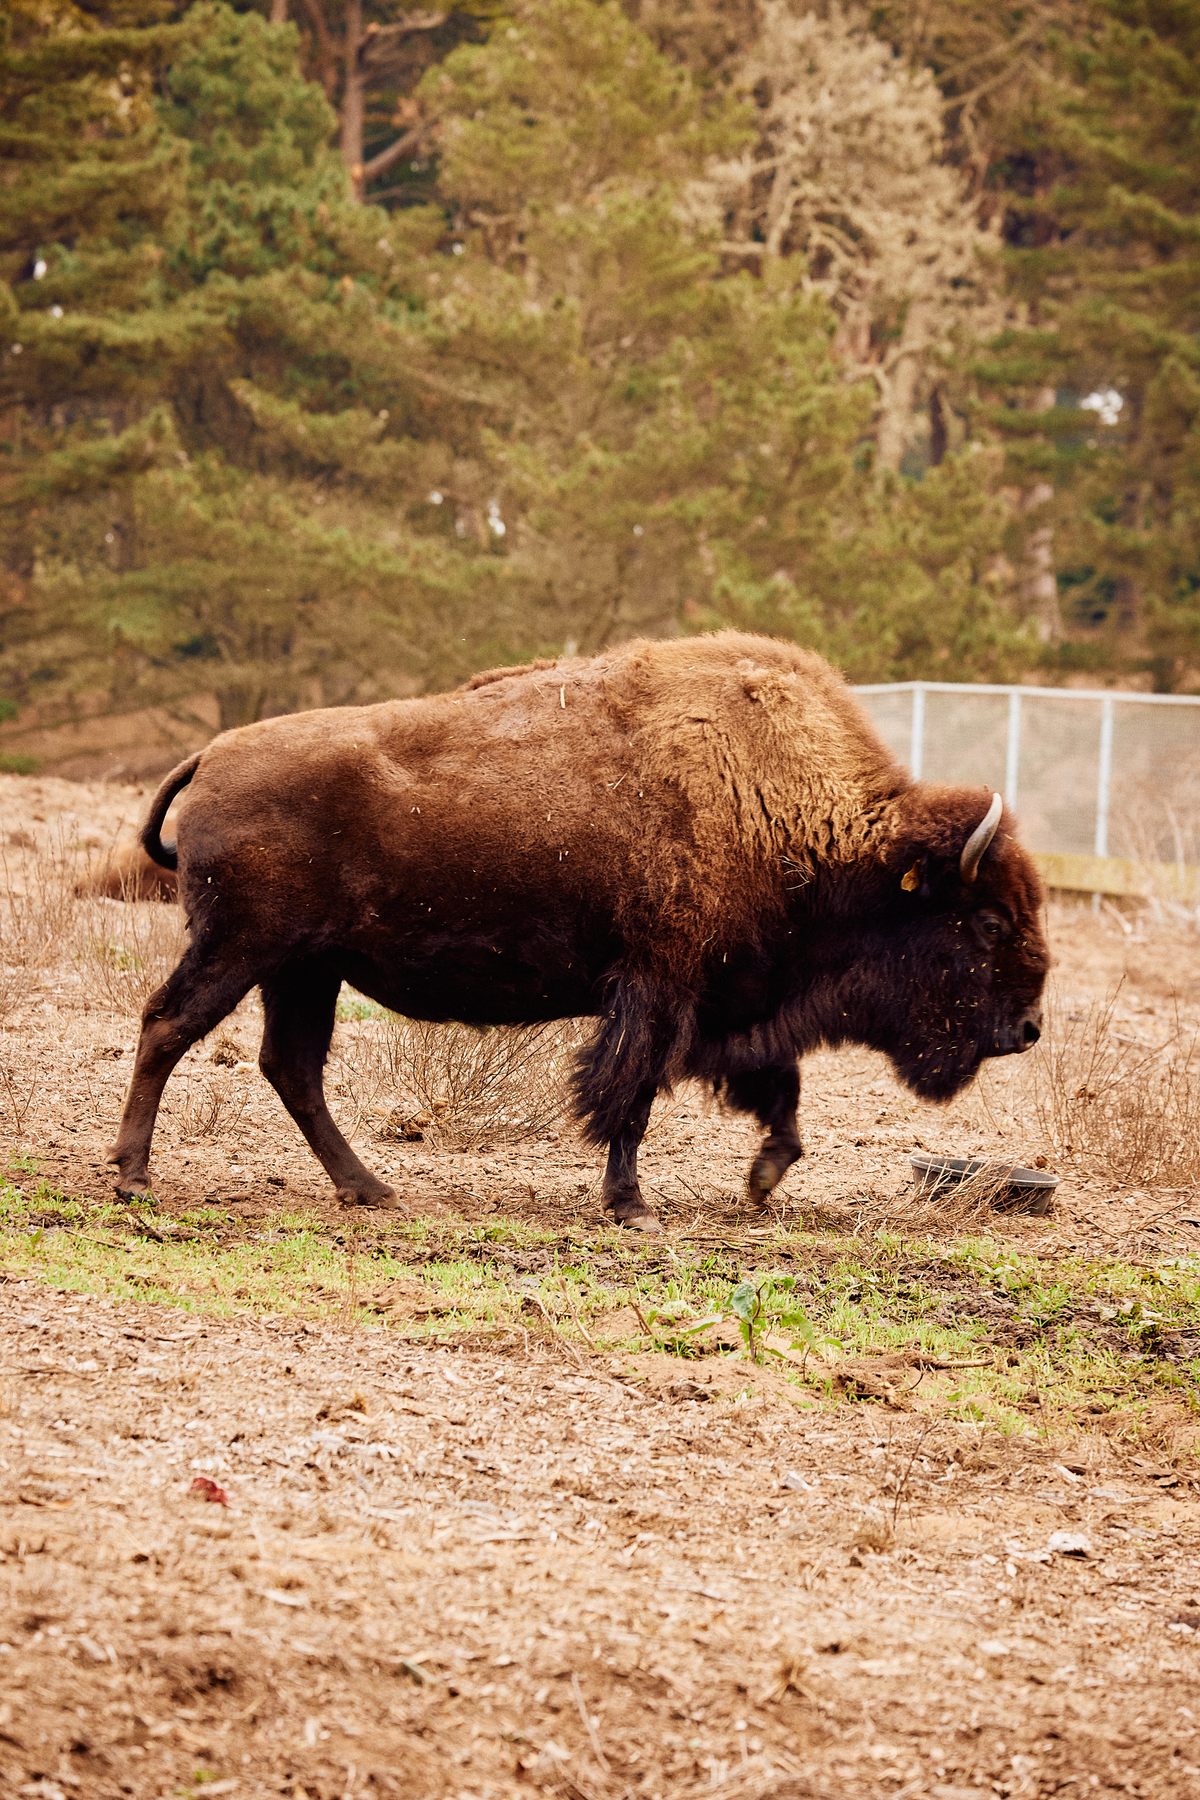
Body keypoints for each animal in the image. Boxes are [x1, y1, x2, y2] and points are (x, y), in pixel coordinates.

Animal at [115, 626, 1050, 1231]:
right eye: (989, 919)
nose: (1028, 1028)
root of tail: (213, 754)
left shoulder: (728, 1000)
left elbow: (775, 1087)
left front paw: (761, 1178)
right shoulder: (661, 989)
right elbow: (630, 1097)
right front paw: (632, 1206)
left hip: (304, 968)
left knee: (291, 1067)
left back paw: (370, 1189)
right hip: (240, 950)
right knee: (170, 1026)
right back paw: (134, 1179)